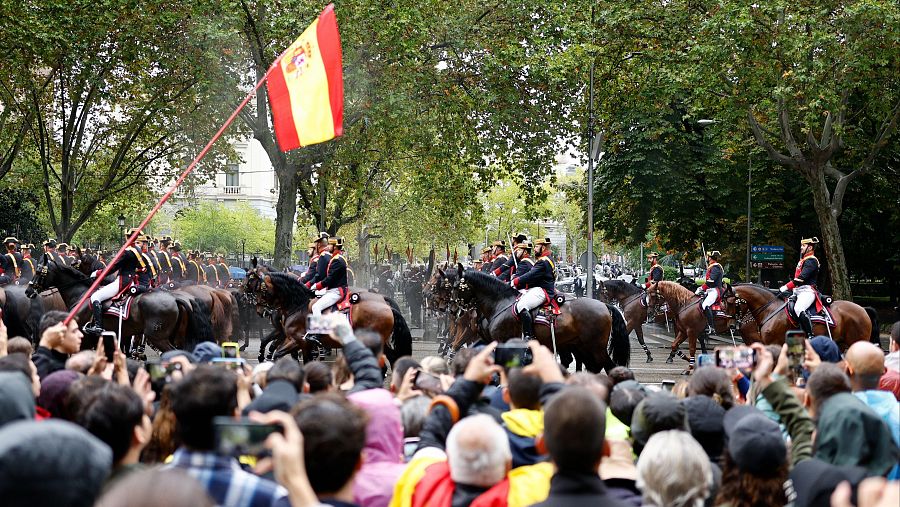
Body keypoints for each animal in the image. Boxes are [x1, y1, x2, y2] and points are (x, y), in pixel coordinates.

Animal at [25, 253, 211, 354]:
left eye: (39, 272)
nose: (28, 291)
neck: (81, 295)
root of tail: (174, 298)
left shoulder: (84, 340)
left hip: (158, 338)